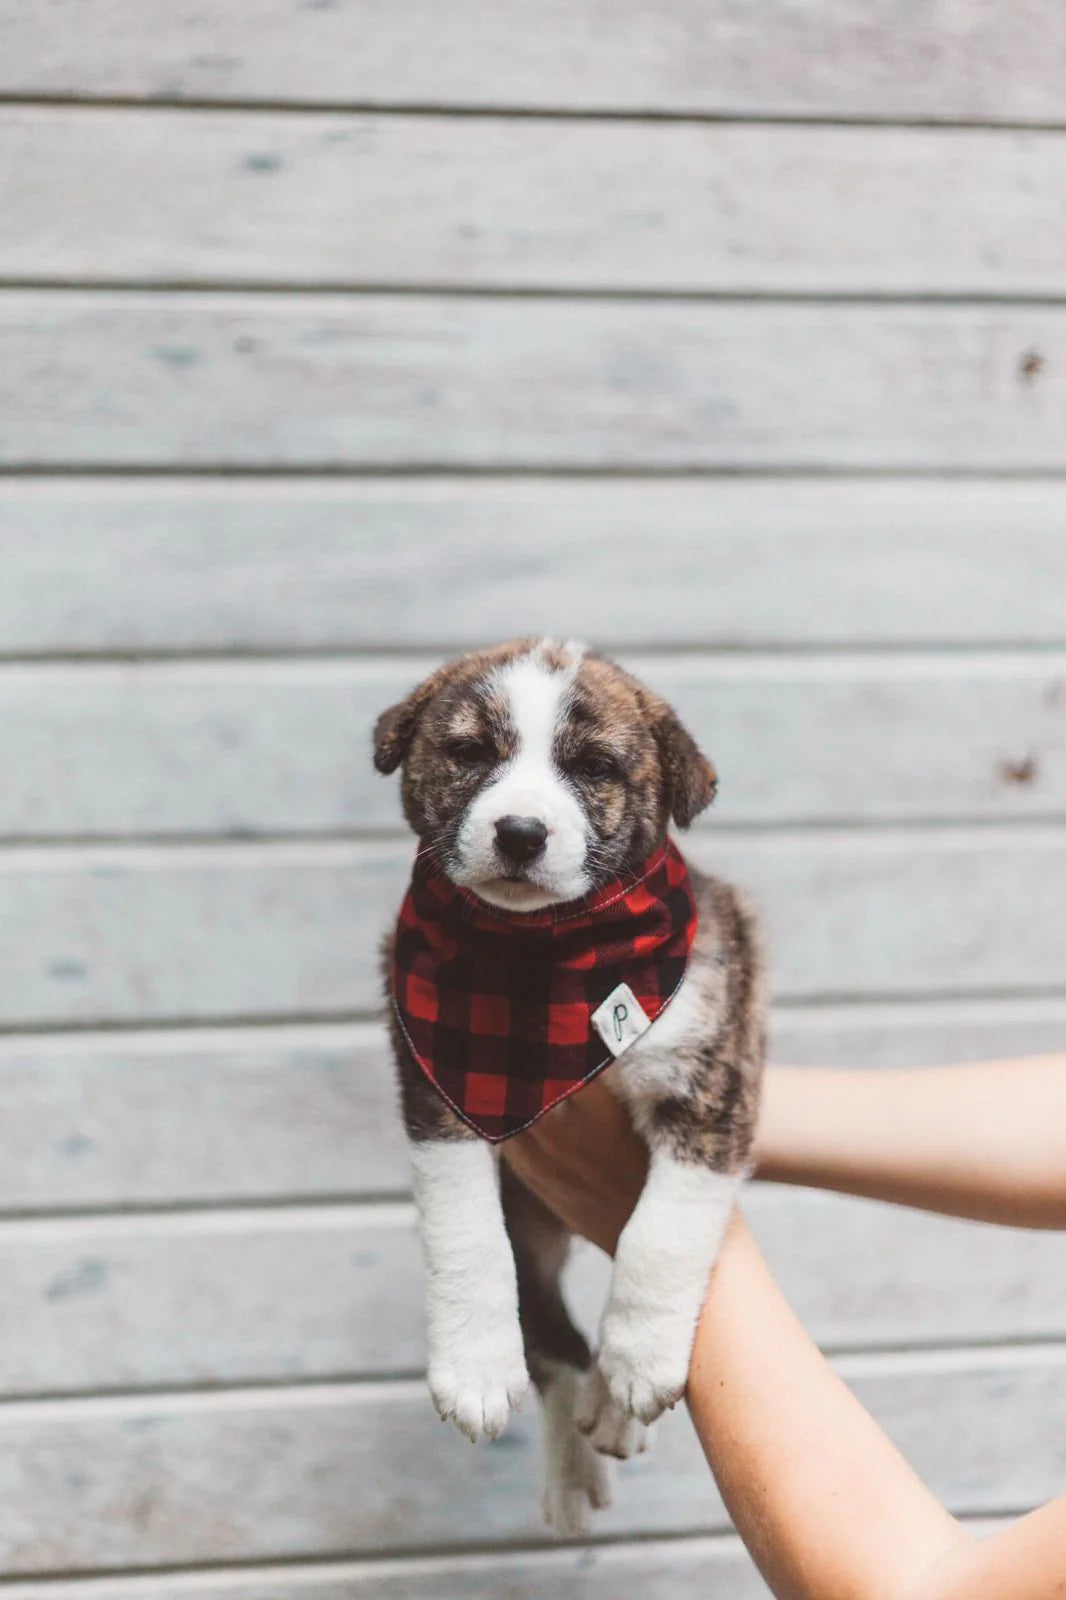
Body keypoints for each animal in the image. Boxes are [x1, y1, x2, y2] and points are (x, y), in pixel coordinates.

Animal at [369, 636, 758, 1536]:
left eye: (595, 767)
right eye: (472, 753)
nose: (520, 832)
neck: (540, 954)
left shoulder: (713, 1083)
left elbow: (664, 1231)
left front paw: (643, 1357)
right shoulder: (438, 1096)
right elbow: (463, 1231)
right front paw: (475, 1369)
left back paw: (612, 1403)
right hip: (533, 1232)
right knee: (556, 1345)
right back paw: (574, 1465)